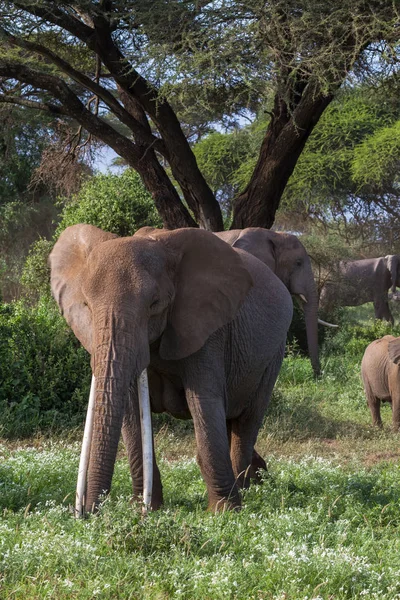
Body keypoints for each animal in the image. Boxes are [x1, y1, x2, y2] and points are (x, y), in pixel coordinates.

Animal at [50, 223, 294, 512]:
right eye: (86, 305)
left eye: (154, 304)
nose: (89, 514)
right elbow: (131, 410)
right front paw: (144, 508)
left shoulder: (209, 329)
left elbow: (203, 402)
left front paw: (224, 512)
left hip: (273, 353)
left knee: (247, 421)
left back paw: (248, 489)